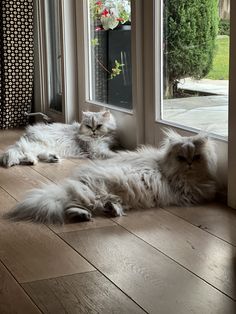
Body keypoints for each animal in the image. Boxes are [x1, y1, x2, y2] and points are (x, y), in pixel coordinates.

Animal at [4, 129, 218, 224]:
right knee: (74, 204)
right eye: (181, 157)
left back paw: (106, 211)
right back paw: (85, 214)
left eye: (196, 157)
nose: (189, 164)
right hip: (94, 191)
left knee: (93, 205)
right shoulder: (185, 188)